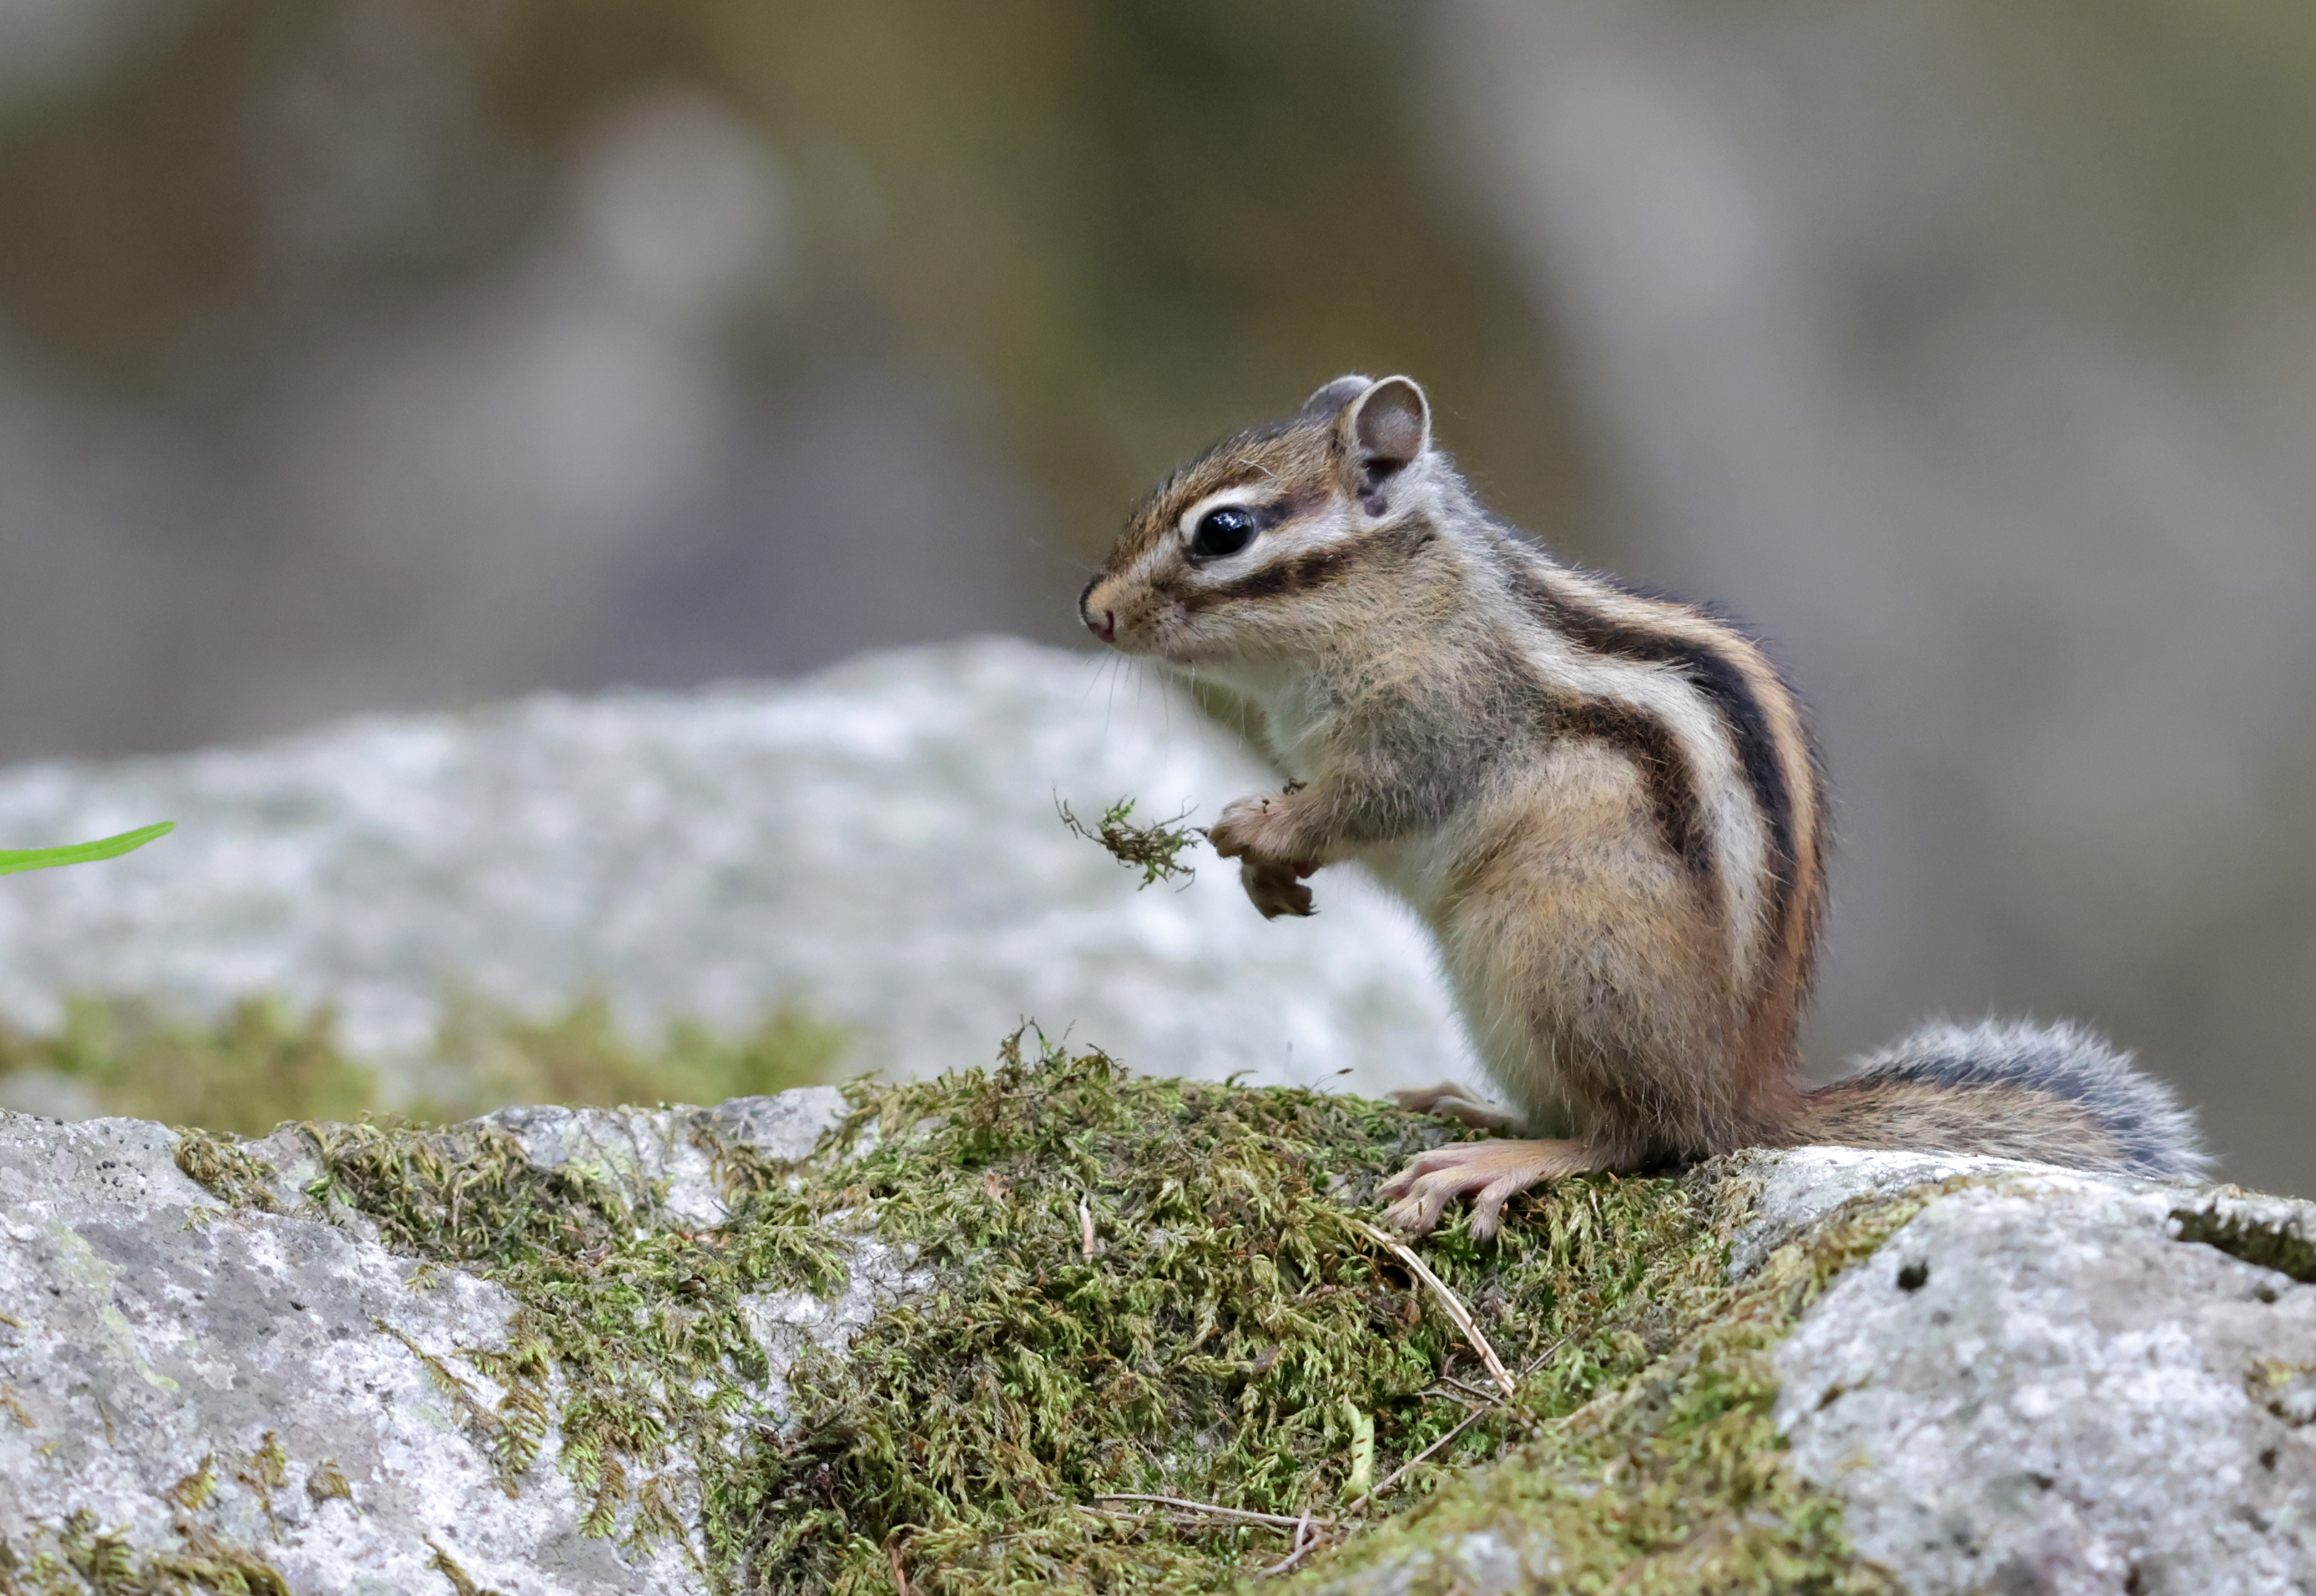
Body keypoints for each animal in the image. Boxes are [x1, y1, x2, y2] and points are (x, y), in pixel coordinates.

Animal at [1078, 373, 2210, 1237]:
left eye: (1223, 531)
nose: (1091, 612)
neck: (1404, 598)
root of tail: (1743, 1095)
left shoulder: (1429, 728)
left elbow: (1364, 804)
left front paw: (1256, 831)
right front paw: (1265, 873)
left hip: (1551, 951)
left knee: (1637, 1136)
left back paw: (1504, 1156)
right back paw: (1474, 1105)